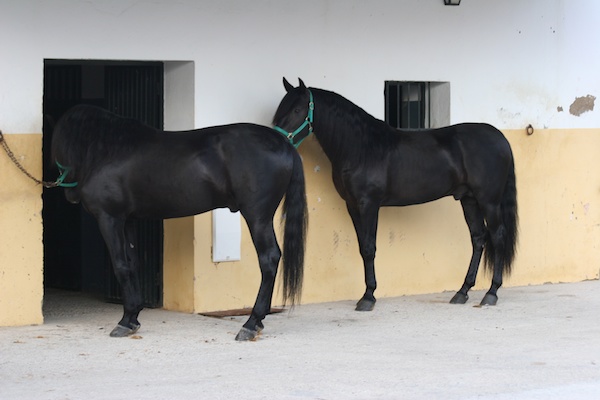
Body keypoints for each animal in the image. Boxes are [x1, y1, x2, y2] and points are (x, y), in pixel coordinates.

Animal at [51, 104, 308, 340]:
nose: (70, 195)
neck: (107, 150)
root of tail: (282, 142)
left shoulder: (109, 218)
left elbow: (121, 266)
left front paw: (124, 321)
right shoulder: (128, 220)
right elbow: (132, 264)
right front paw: (133, 317)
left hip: (258, 217)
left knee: (269, 259)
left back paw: (251, 323)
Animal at [274, 77, 516, 310]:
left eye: (297, 110)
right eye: (281, 107)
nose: (279, 140)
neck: (361, 147)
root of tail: (500, 137)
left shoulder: (369, 204)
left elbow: (369, 248)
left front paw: (368, 297)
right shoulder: (352, 205)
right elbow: (362, 247)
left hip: (489, 201)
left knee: (498, 235)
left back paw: (491, 293)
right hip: (469, 199)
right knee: (478, 238)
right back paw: (462, 292)